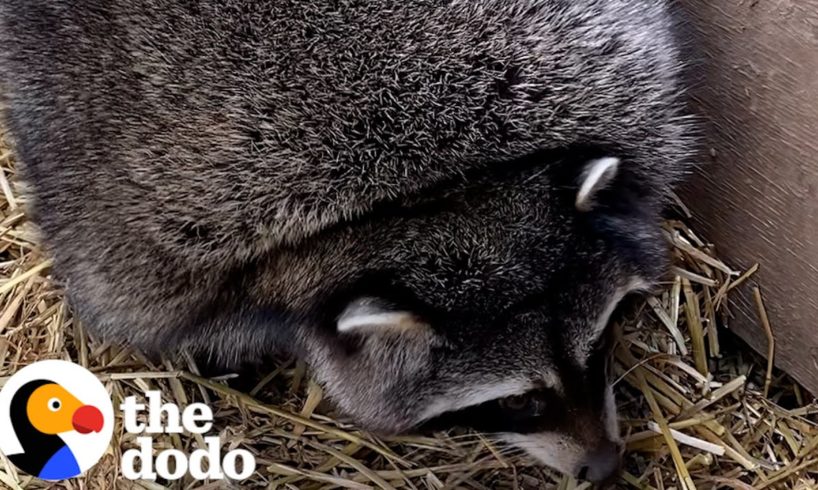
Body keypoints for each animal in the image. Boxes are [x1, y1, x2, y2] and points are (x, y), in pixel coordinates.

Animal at [0, 0, 695, 482]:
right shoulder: (158, 251)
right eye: (520, 401)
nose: (604, 468)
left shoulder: (609, 80)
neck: (435, 195)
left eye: (599, 346)